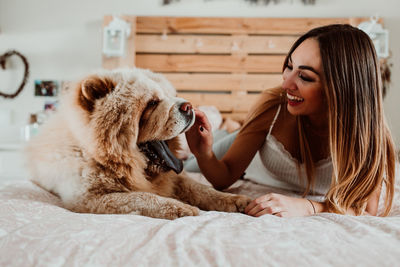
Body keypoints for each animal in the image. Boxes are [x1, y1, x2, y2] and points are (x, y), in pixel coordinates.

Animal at [25, 67, 252, 220]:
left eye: (172, 95)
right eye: (152, 103)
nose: (188, 106)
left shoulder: (175, 178)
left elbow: (202, 189)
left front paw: (238, 200)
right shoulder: (88, 198)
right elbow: (141, 197)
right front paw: (181, 208)